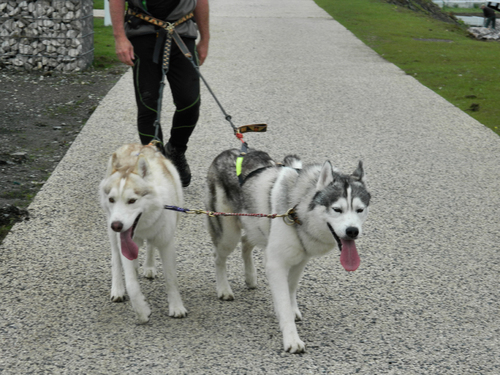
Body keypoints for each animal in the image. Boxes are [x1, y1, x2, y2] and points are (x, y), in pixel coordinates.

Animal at [99, 144, 188, 324]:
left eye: (132, 201)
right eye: (112, 199)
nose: (116, 226)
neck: (142, 226)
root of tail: (140, 145)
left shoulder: (166, 243)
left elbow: (171, 279)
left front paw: (176, 307)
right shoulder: (123, 244)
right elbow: (131, 284)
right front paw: (142, 312)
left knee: (150, 246)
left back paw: (149, 267)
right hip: (112, 234)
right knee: (116, 259)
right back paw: (117, 289)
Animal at [204, 148, 372, 354]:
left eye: (359, 209)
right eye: (337, 209)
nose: (352, 231)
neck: (299, 209)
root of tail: (227, 152)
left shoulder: (300, 260)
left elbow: (290, 290)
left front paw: (292, 310)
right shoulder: (276, 264)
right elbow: (283, 303)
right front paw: (291, 339)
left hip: (255, 226)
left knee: (246, 243)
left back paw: (250, 277)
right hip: (229, 235)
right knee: (219, 257)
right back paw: (223, 288)